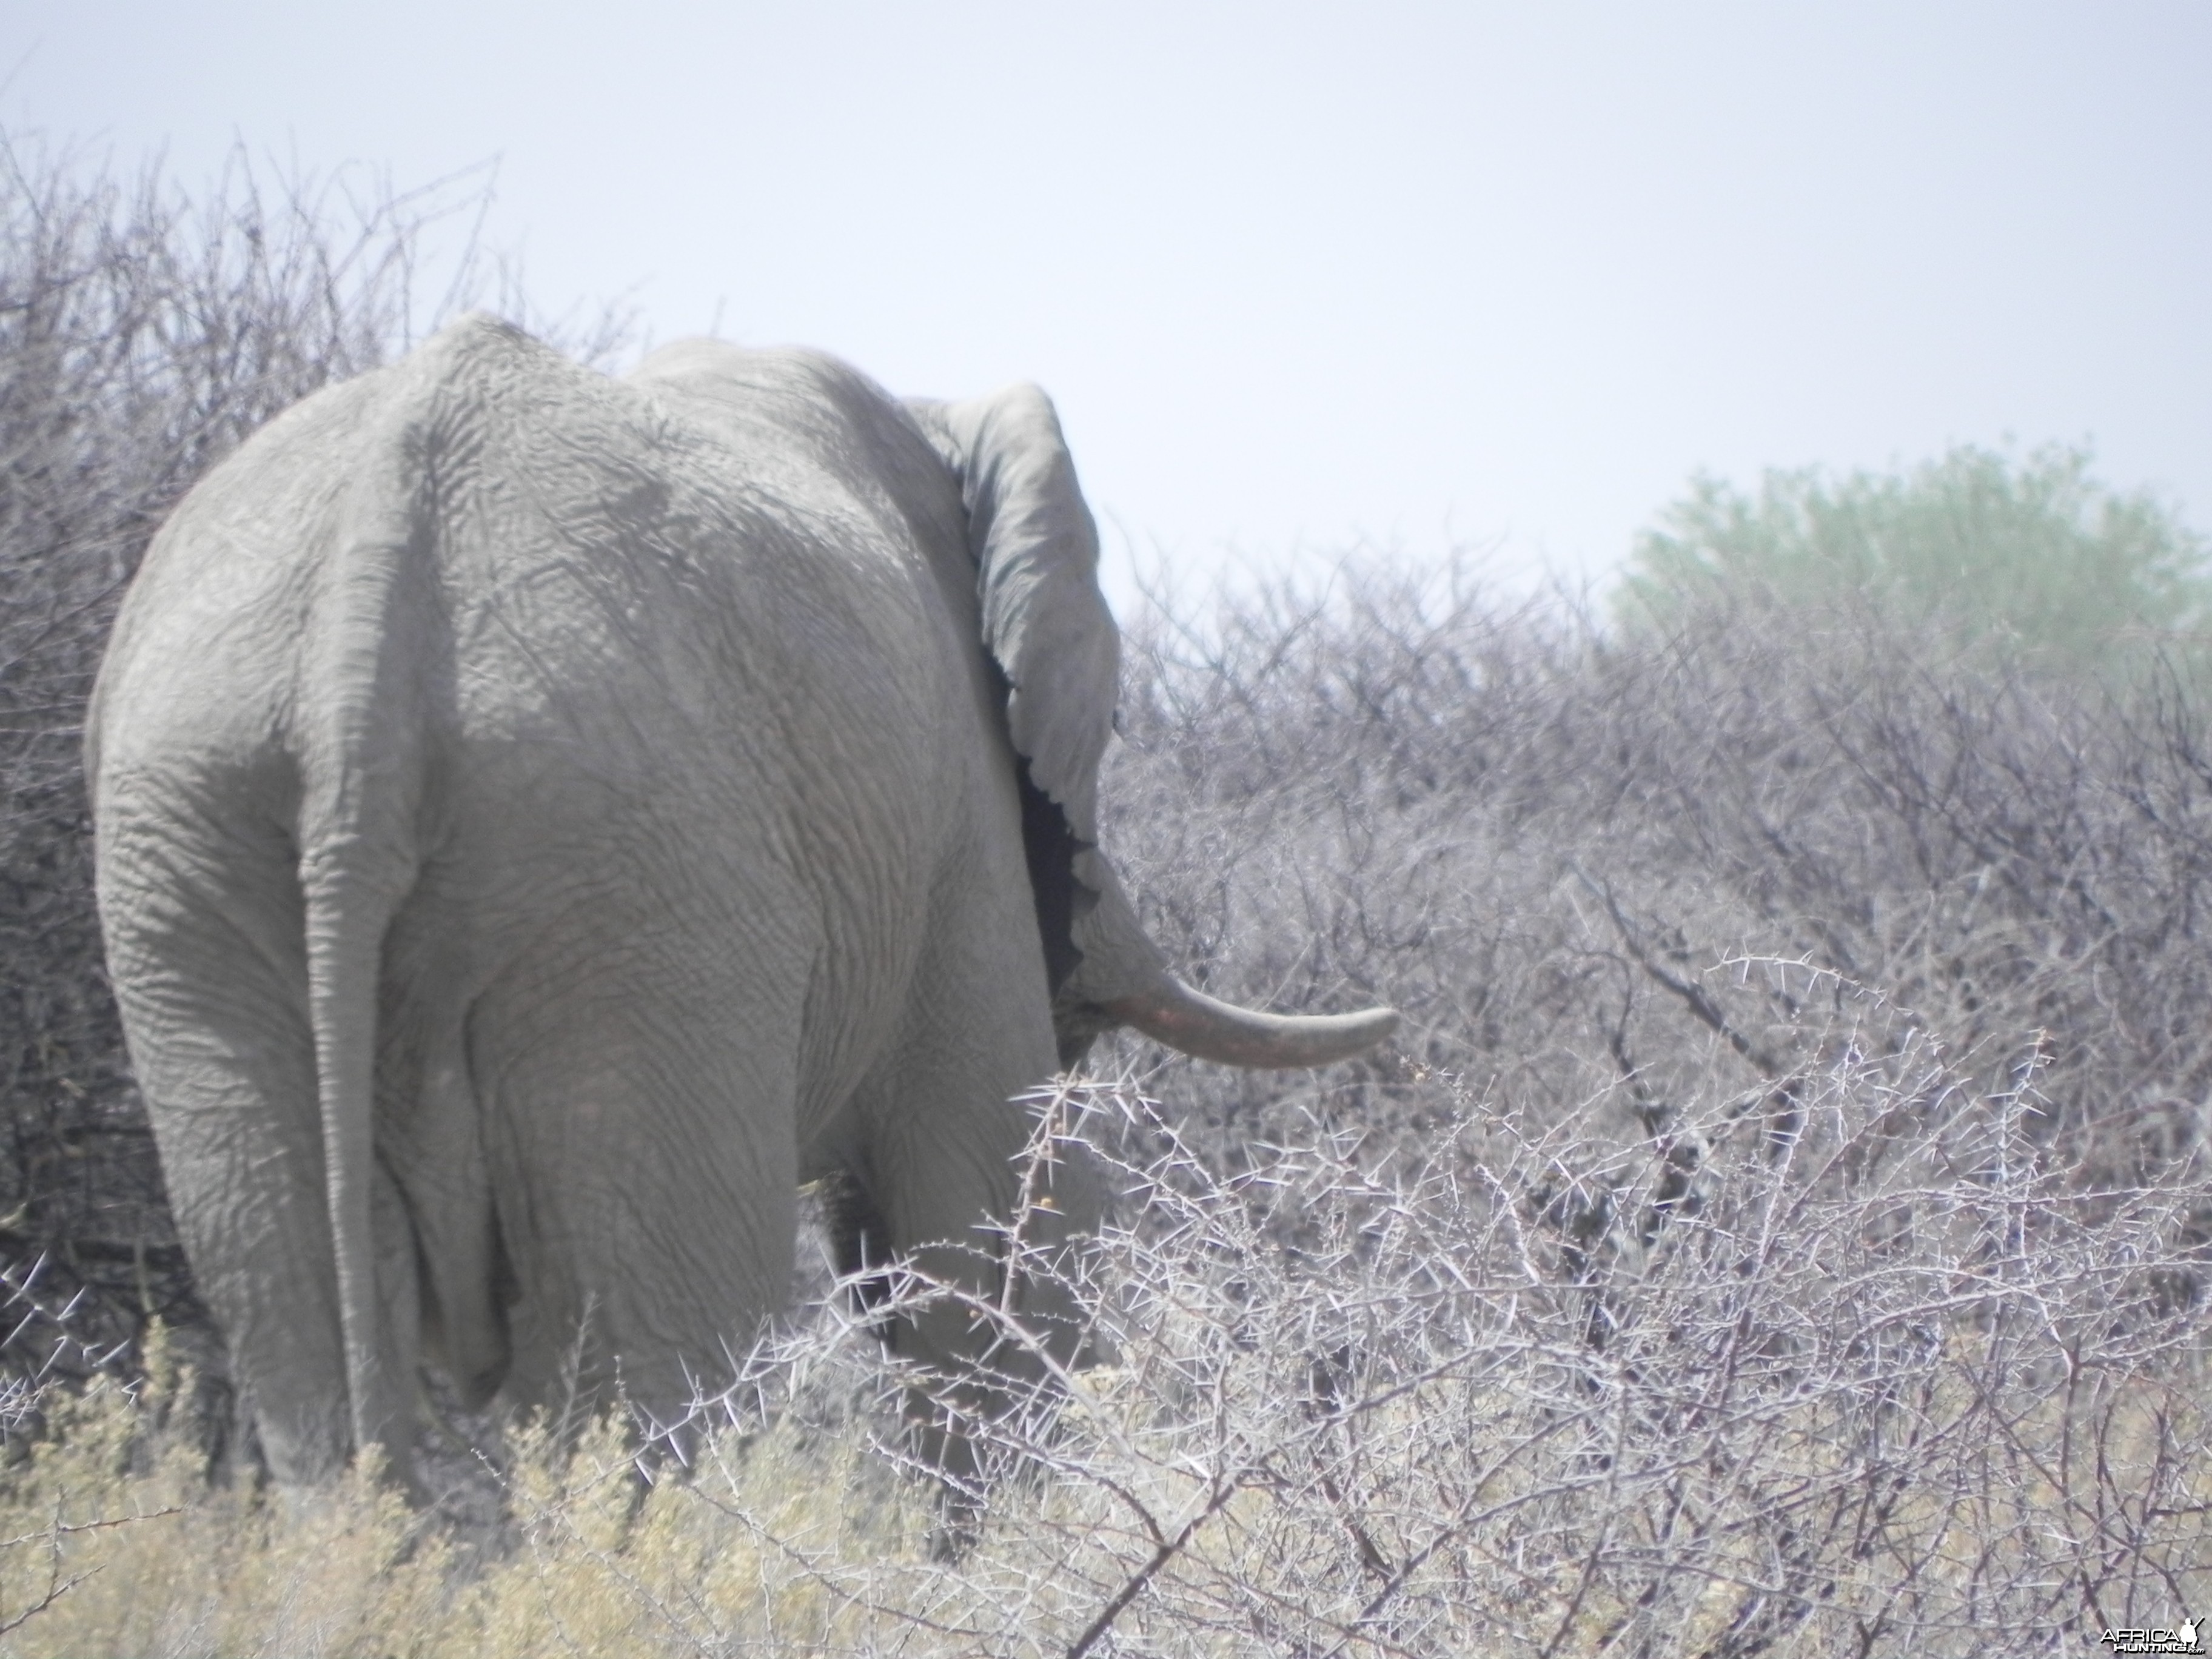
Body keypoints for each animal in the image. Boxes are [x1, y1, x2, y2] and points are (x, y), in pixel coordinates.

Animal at [90, 314, 1398, 1495]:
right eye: (1115, 719)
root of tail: (365, 641)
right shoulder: (953, 815)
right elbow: (981, 1230)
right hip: (640, 885)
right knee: (655, 1380)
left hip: (194, 867)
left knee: (311, 1359)